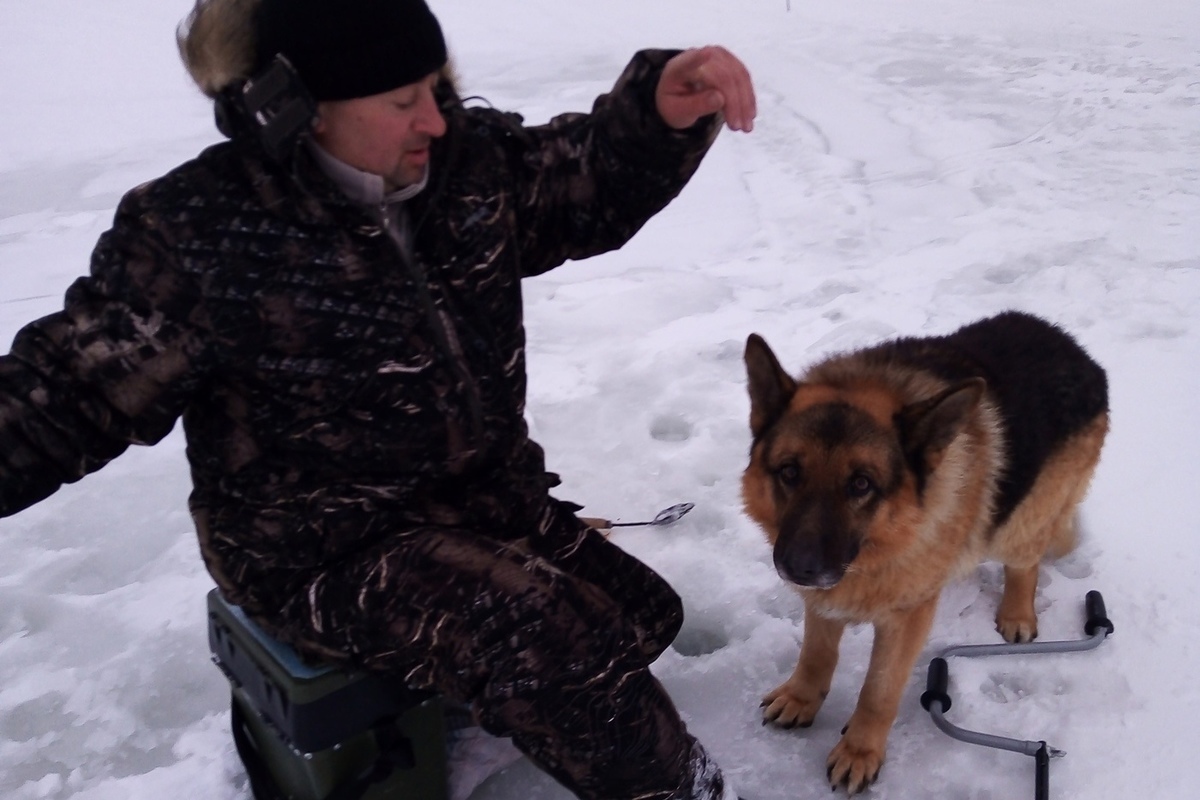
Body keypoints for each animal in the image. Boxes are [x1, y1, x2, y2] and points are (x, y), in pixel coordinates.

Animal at [744, 311, 1108, 796]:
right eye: (789, 472)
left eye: (861, 484)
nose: (799, 568)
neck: (882, 545)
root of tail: (1072, 347)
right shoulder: (825, 600)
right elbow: (817, 654)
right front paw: (802, 697)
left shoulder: (905, 617)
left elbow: (878, 690)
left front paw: (861, 751)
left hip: (1018, 523)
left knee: (1024, 563)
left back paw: (1017, 613)